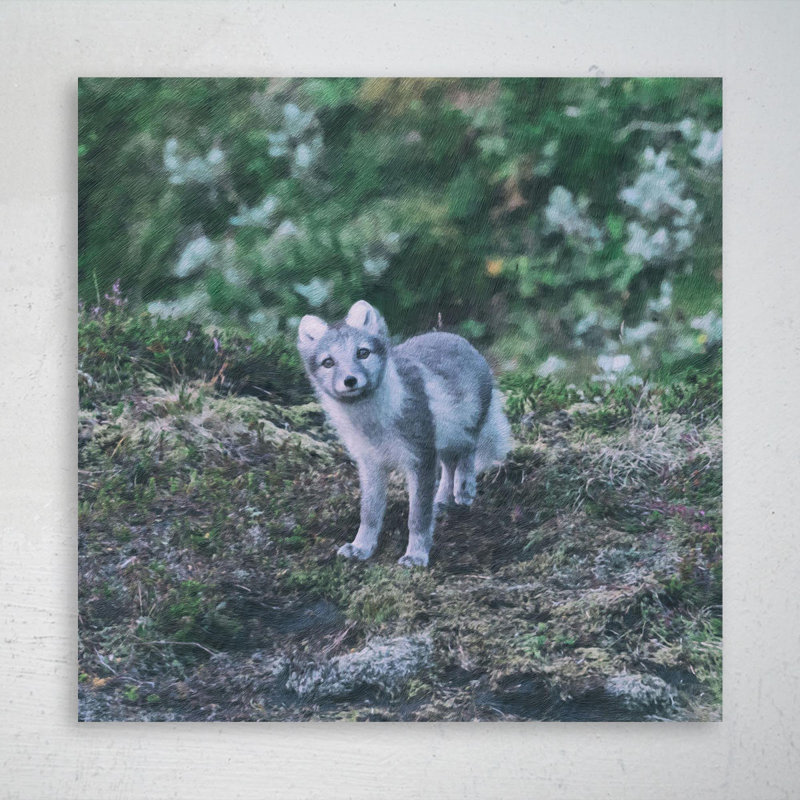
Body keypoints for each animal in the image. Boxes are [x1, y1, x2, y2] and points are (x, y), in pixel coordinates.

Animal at [297, 300, 512, 567]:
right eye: (328, 362)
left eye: (362, 353)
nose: (350, 380)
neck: (373, 425)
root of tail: (455, 338)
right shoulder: (370, 464)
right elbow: (369, 513)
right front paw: (361, 547)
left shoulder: (420, 457)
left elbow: (417, 517)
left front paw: (416, 555)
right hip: (441, 441)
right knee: (448, 466)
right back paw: (442, 500)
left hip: (463, 426)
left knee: (467, 450)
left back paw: (464, 487)